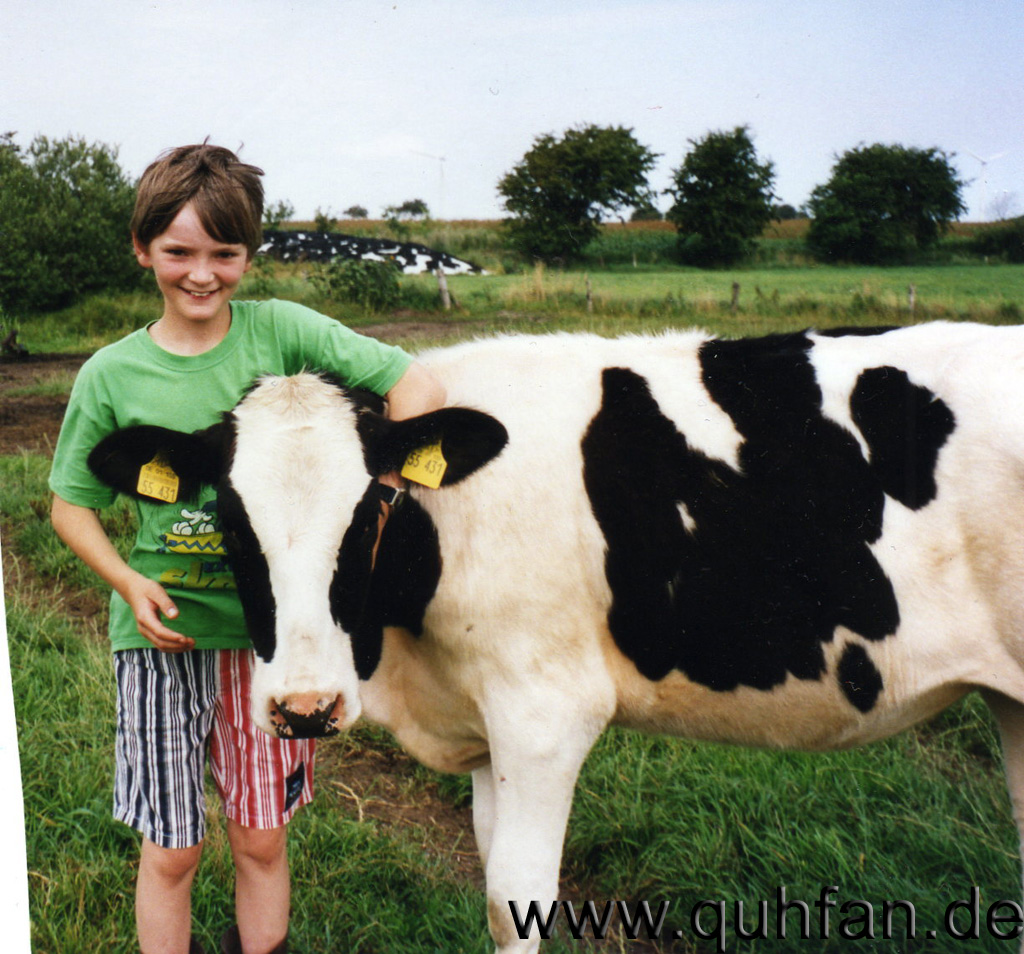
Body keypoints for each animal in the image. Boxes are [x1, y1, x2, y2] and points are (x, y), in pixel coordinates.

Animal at [90, 323, 1024, 949]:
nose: (305, 708)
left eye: (372, 509)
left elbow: (515, 898)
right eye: (229, 519)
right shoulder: (483, 718)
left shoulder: (544, 714)